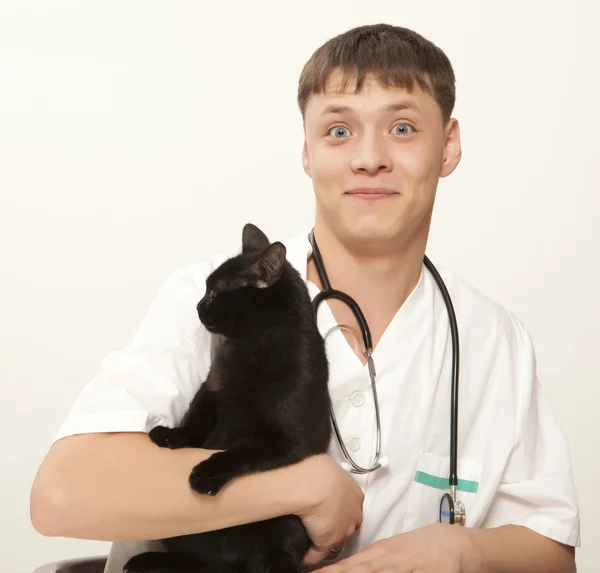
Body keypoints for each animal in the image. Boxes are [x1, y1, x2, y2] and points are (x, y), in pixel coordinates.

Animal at [125, 222, 332, 572]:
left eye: (213, 293)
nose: (197, 306)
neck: (253, 344)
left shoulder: (287, 438)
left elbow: (239, 451)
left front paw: (205, 474)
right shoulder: (213, 390)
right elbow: (195, 419)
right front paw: (171, 435)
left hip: (282, 525)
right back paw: (147, 560)